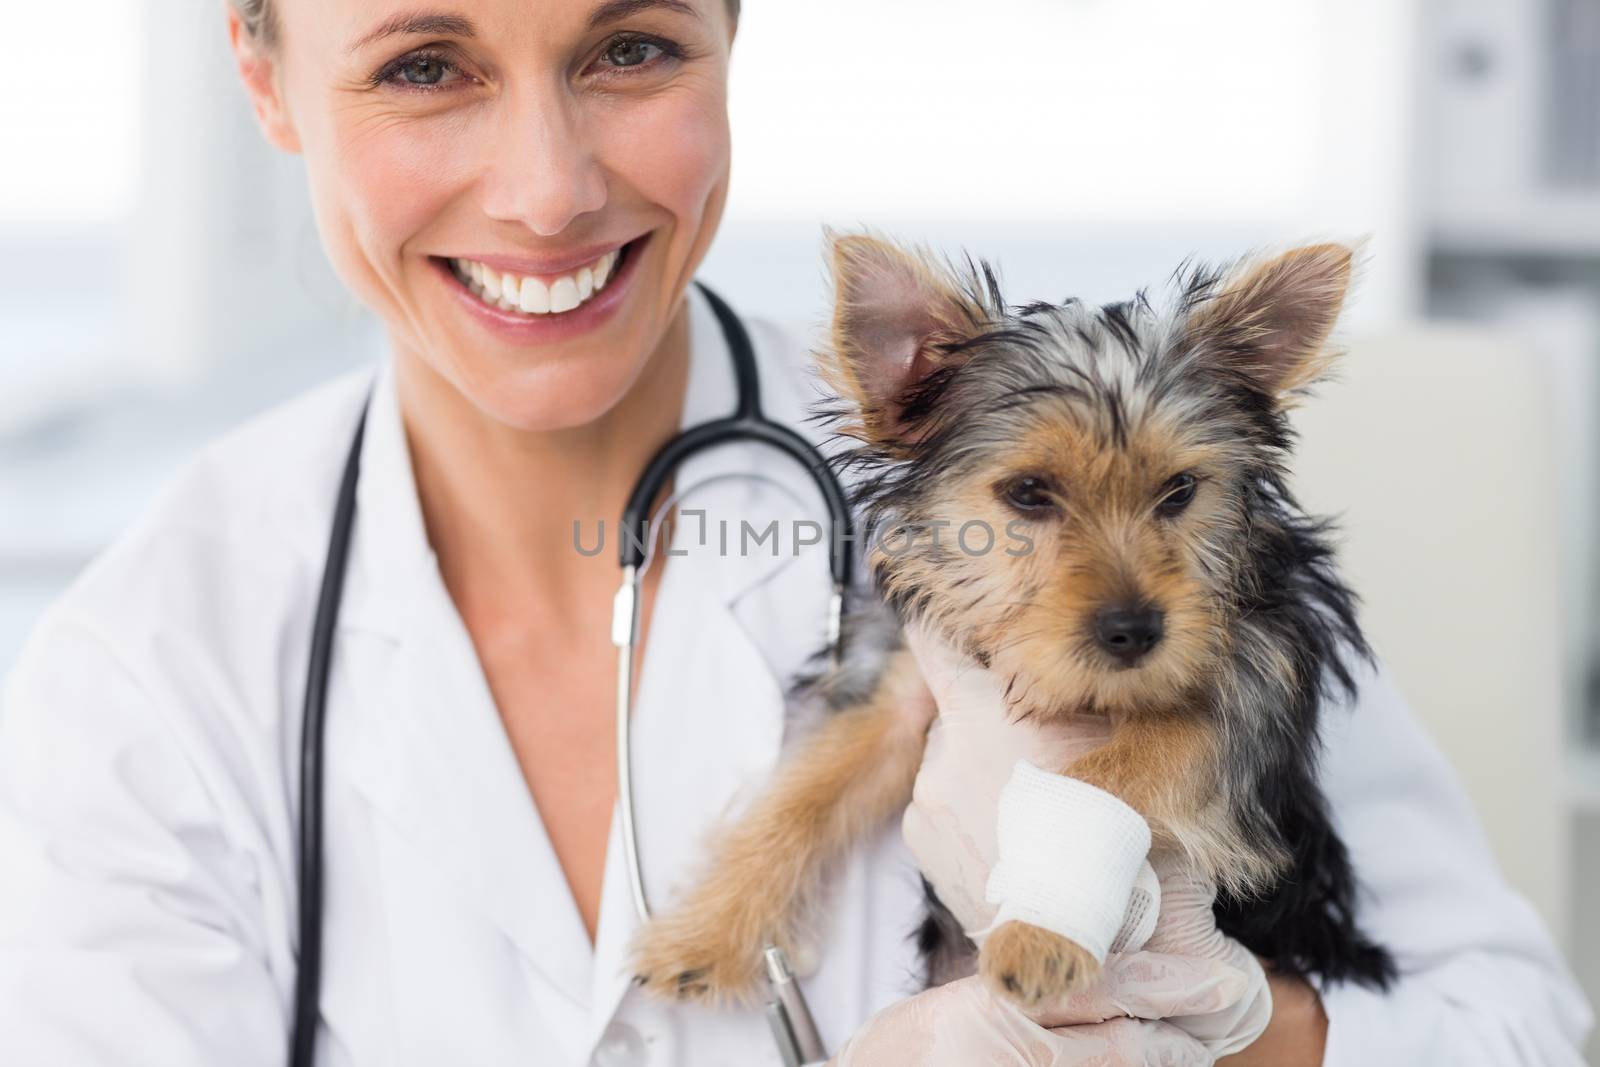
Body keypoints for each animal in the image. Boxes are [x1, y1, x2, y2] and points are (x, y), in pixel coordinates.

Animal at [630, 233, 1395, 1011]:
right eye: (1028, 492)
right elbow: (809, 785)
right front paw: (708, 930)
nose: (1135, 632)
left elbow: (1110, 770)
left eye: (1180, 490)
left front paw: (1039, 928)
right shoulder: (907, 683)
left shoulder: (1247, 691)